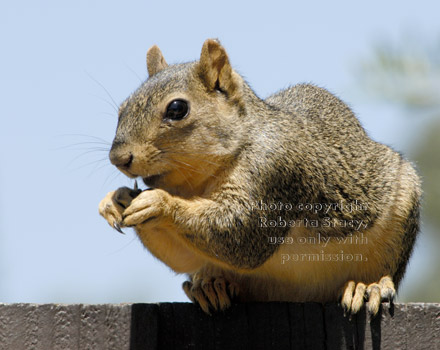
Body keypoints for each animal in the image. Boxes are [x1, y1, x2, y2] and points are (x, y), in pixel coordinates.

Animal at [98, 39, 422, 316]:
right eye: (123, 108)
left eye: (177, 108)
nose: (119, 158)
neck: (198, 182)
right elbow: (183, 257)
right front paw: (114, 201)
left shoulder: (274, 172)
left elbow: (240, 234)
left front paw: (159, 203)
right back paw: (210, 286)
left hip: (399, 219)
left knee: (386, 272)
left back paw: (369, 288)